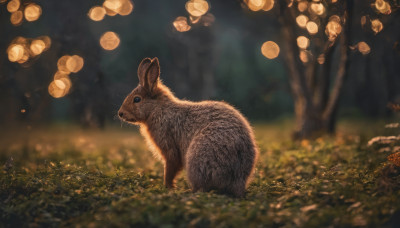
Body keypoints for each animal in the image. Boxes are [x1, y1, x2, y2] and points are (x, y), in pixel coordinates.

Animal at [117, 57, 258, 198]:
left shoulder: (169, 148)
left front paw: (168, 187)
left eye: (137, 99)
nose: (120, 113)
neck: (157, 109)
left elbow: (170, 168)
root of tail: (236, 180)